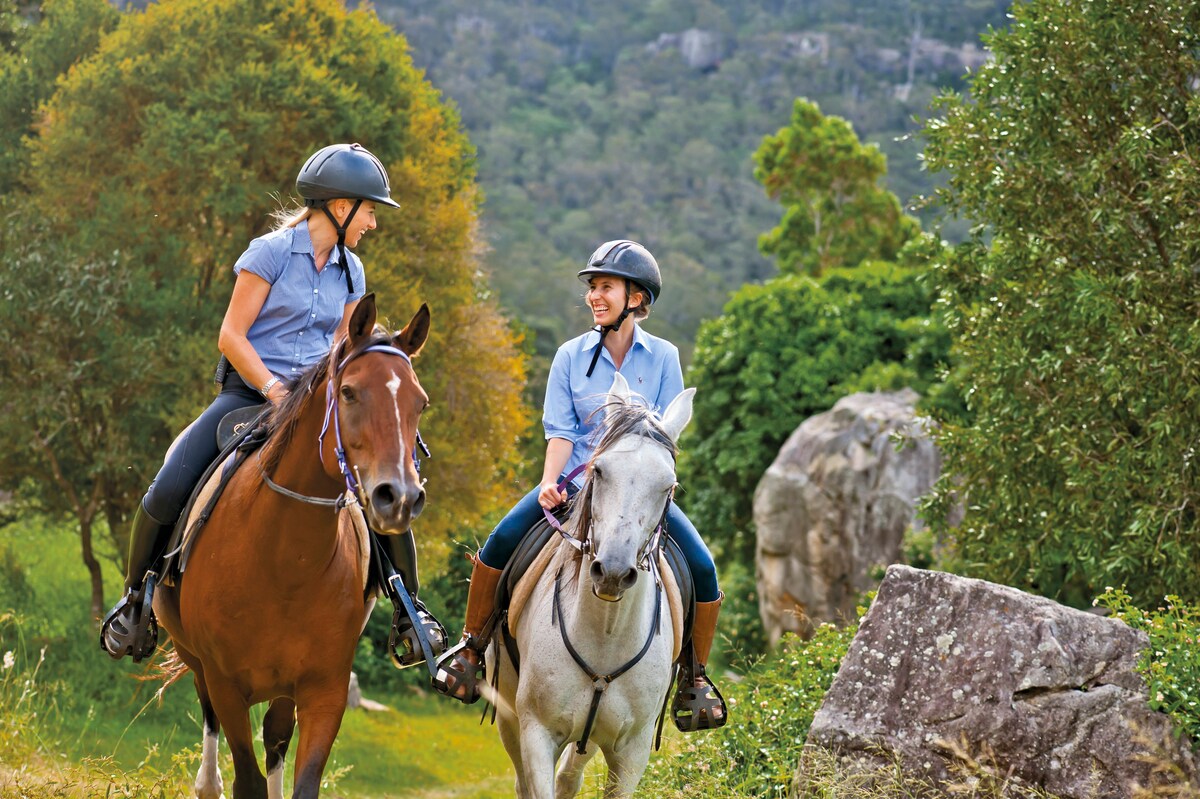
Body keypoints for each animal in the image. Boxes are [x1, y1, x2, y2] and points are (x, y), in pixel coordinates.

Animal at [152, 293, 429, 796]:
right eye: (349, 392)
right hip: (197, 663)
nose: (398, 497)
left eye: (420, 403)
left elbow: (300, 778)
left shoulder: (325, 691)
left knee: (276, 737)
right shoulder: (226, 683)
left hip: (282, 688)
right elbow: (246, 778)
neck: (286, 563)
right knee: (209, 719)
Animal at [492, 374, 696, 796]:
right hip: (507, 713)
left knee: (571, 776)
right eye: (599, 470)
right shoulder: (536, 734)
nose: (614, 572)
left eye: (668, 485)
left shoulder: (632, 753)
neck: (606, 633)